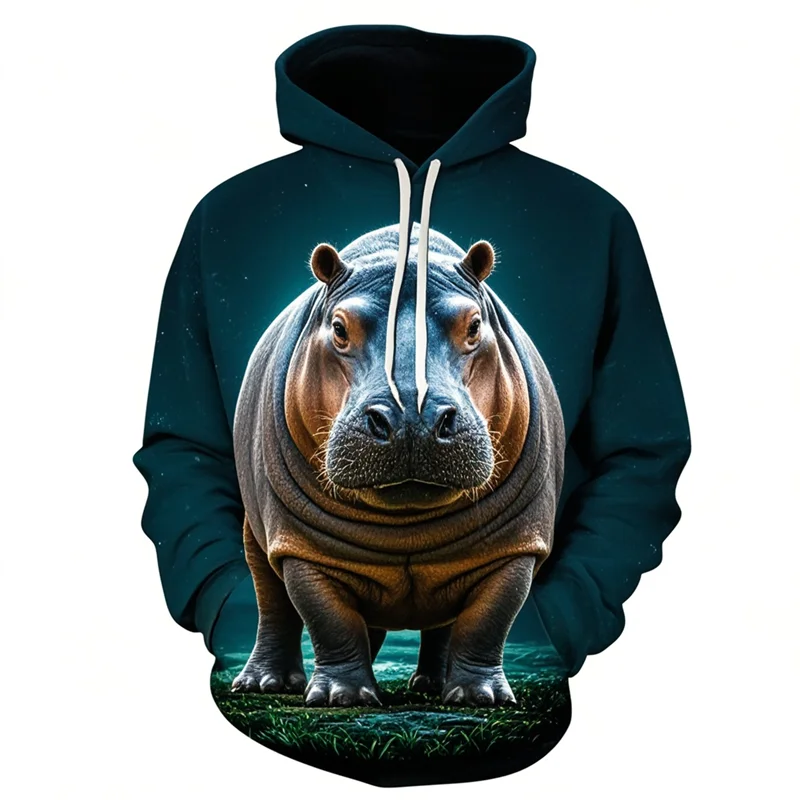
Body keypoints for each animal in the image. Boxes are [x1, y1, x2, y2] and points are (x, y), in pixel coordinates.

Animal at [231, 222, 565, 707]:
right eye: (338, 327)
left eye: (474, 325)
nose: (413, 417)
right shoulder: (300, 546)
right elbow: (328, 618)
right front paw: (342, 697)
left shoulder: (517, 545)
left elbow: (488, 621)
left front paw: (480, 697)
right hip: (257, 536)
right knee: (272, 603)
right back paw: (265, 684)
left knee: (442, 623)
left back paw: (433, 686)